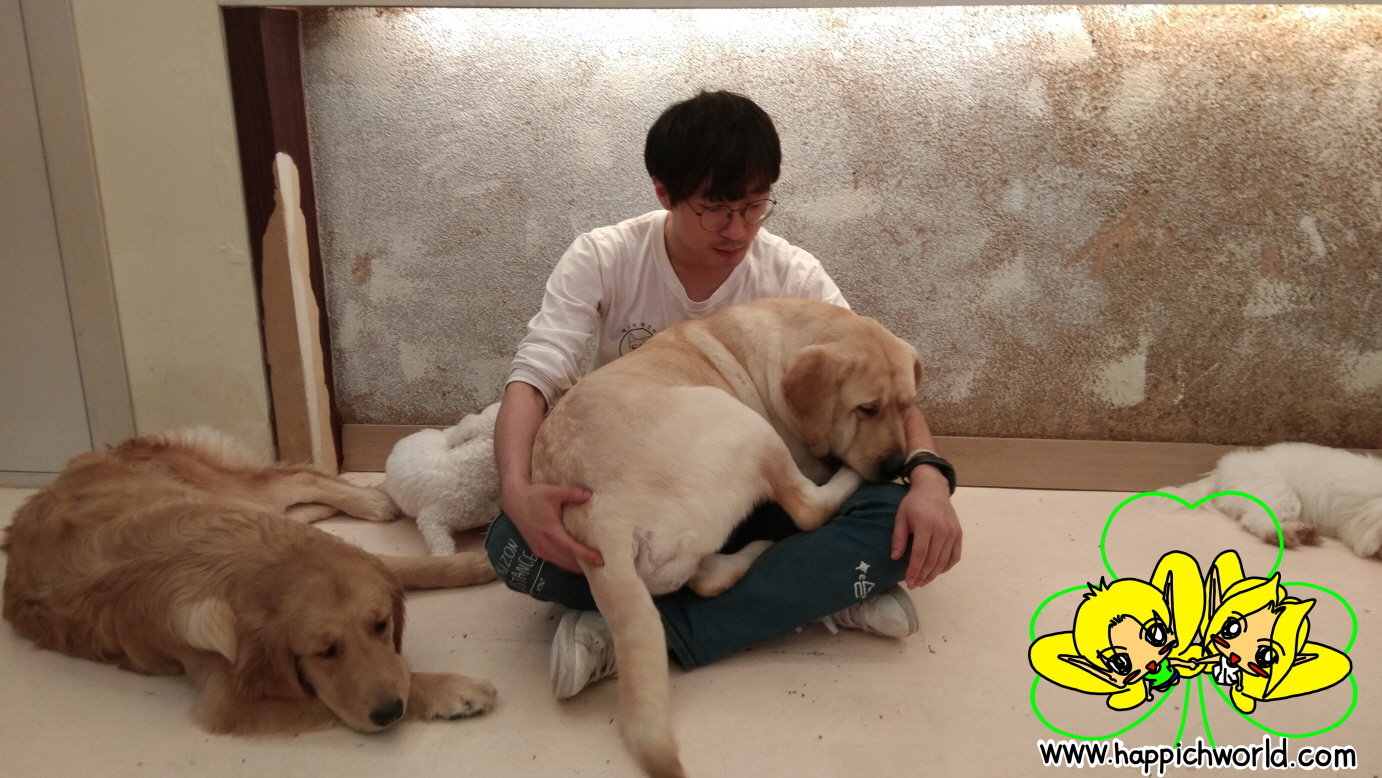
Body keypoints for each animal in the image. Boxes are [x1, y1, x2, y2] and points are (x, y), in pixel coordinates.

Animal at [2, 428, 498, 735]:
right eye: (323, 653)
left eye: (381, 625)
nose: (388, 711)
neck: (252, 564)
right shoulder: (232, 701)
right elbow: (347, 693)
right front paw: (451, 689)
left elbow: (407, 568)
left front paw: (473, 566)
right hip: (236, 497)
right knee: (297, 486)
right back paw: (371, 499)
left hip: (235, 492)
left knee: (299, 478)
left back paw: (373, 501)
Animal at [531, 298, 923, 778]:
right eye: (867, 409)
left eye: (906, 406)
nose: (894, 465)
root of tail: (599, 519)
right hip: (742, 421)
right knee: (808, 510)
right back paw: (832, 491)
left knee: (704, 579)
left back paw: (753, 550)